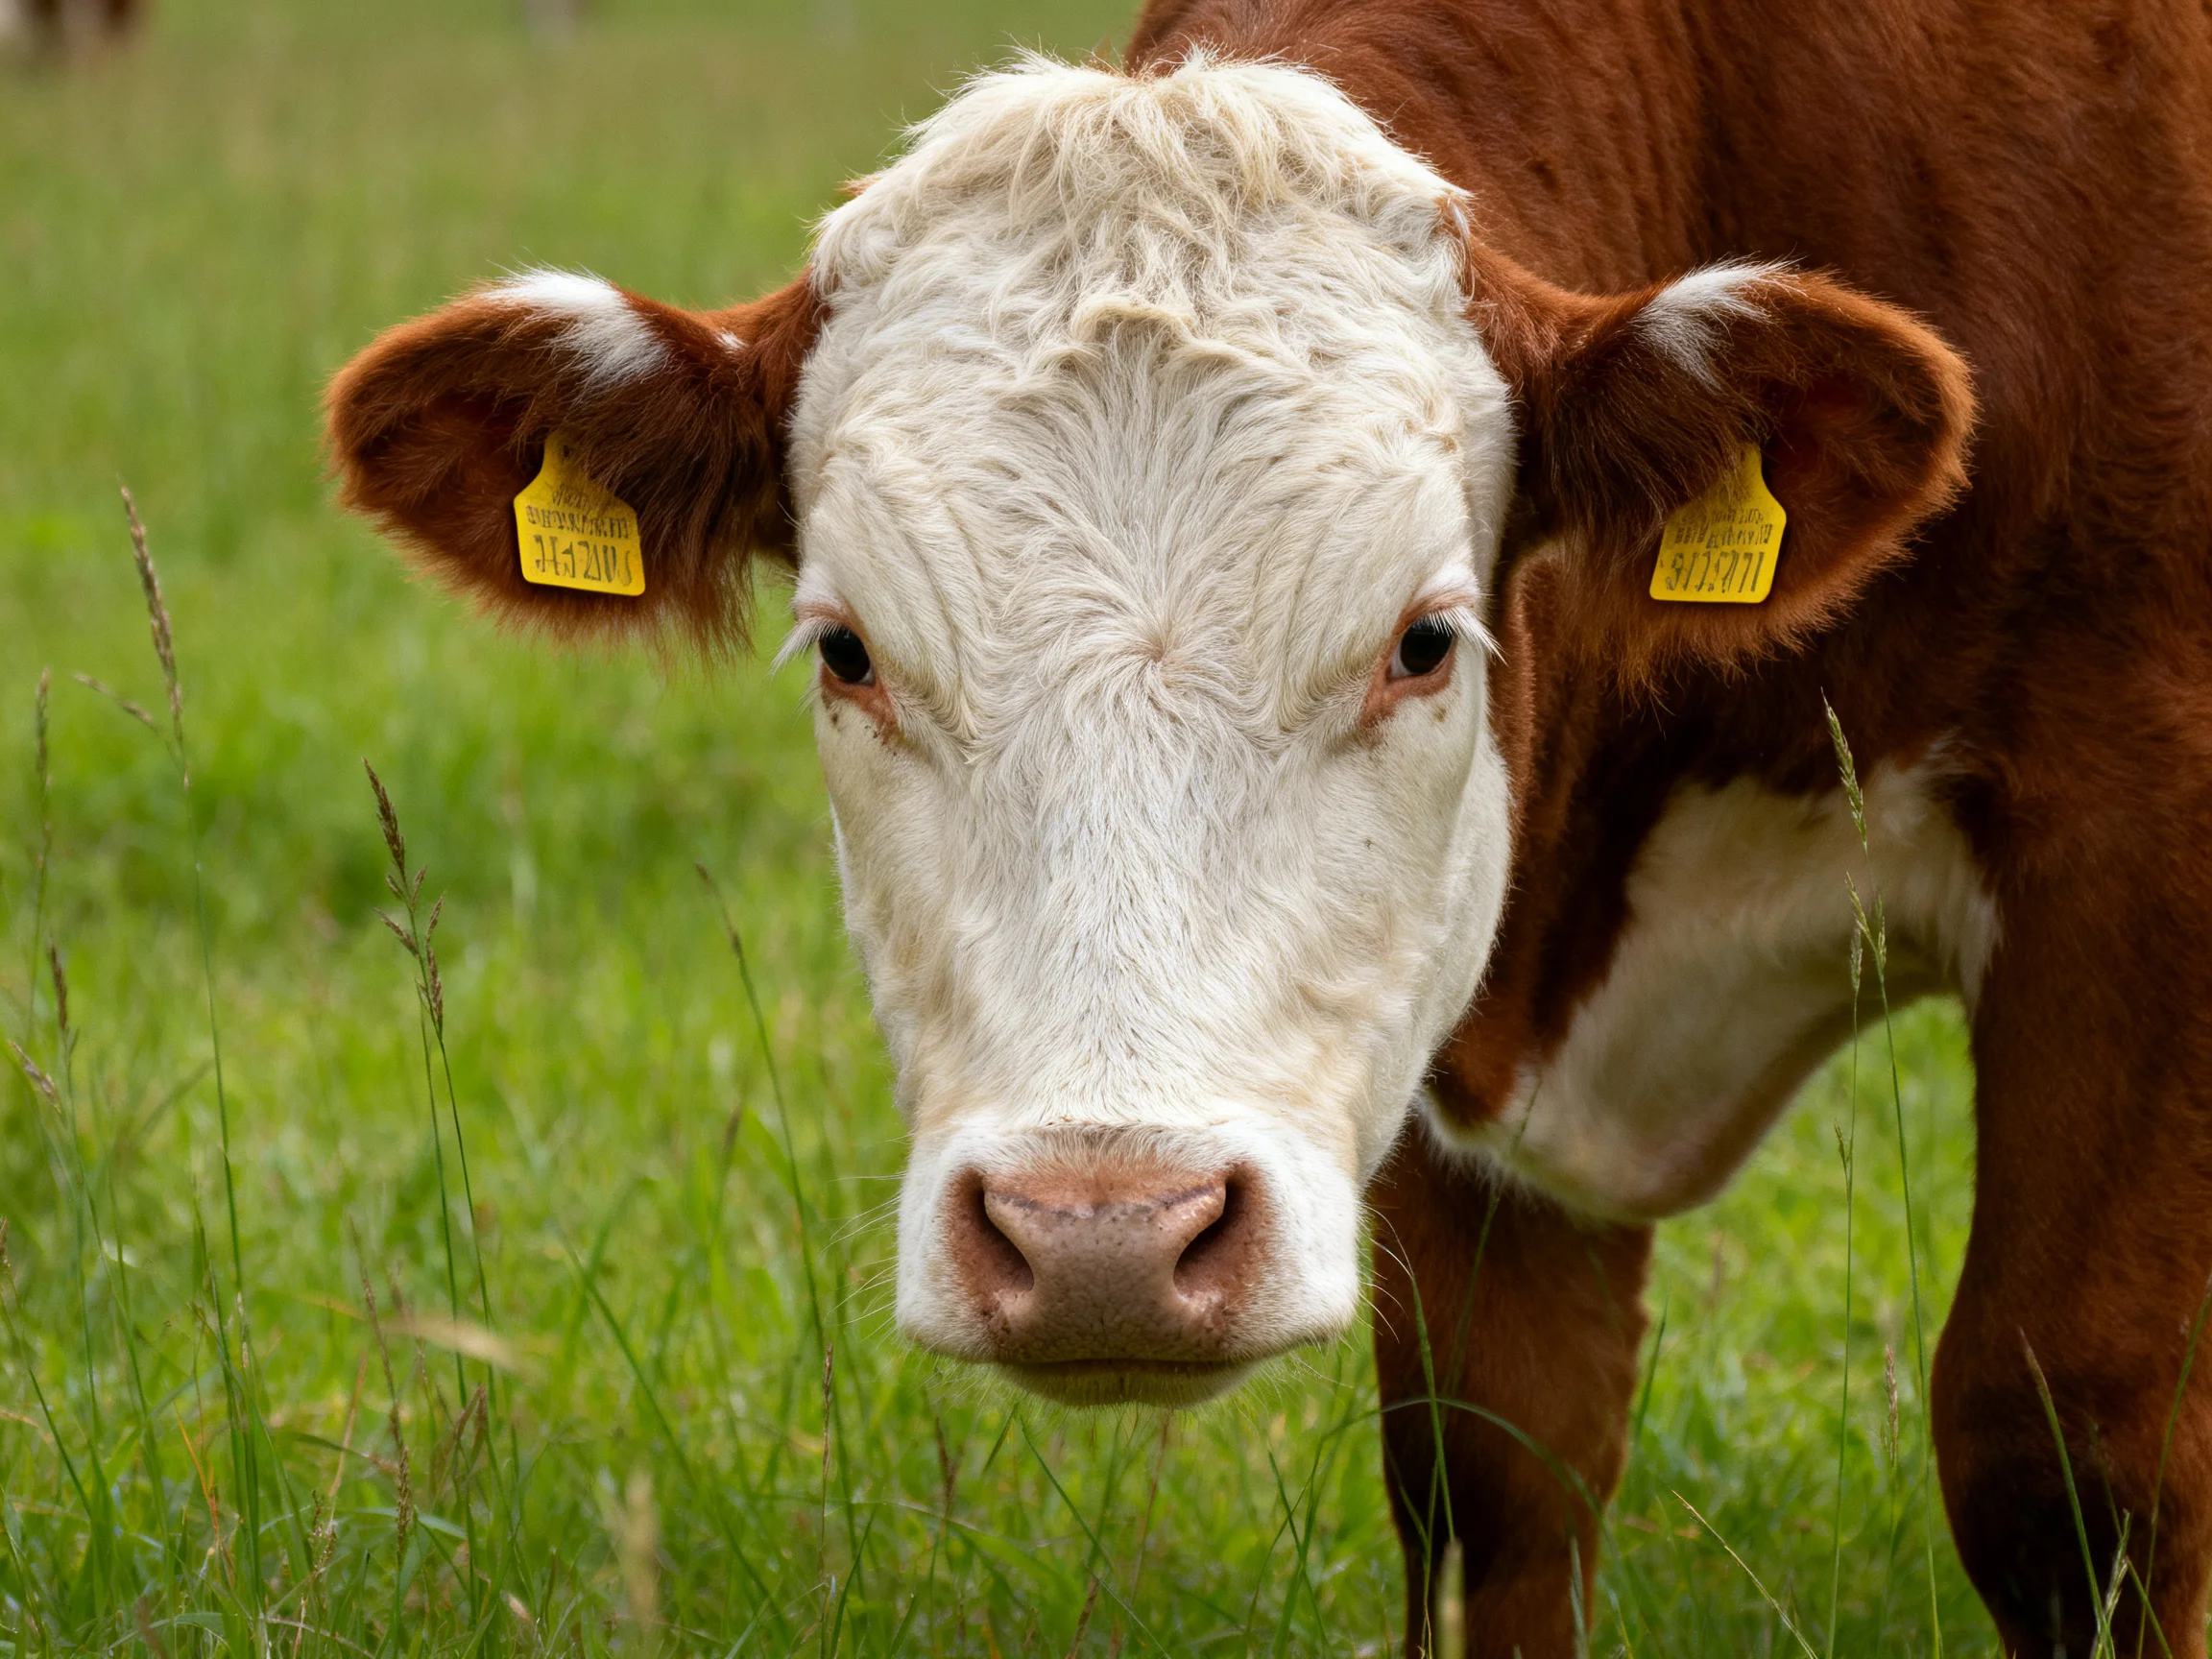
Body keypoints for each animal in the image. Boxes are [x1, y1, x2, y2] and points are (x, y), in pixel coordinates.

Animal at [323, 1, 2212, 1653]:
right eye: (846, 650)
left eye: (1423, 641)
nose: (1099, 1240)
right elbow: (1494, 1460)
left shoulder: (2134, 859)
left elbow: (2063, 1436)